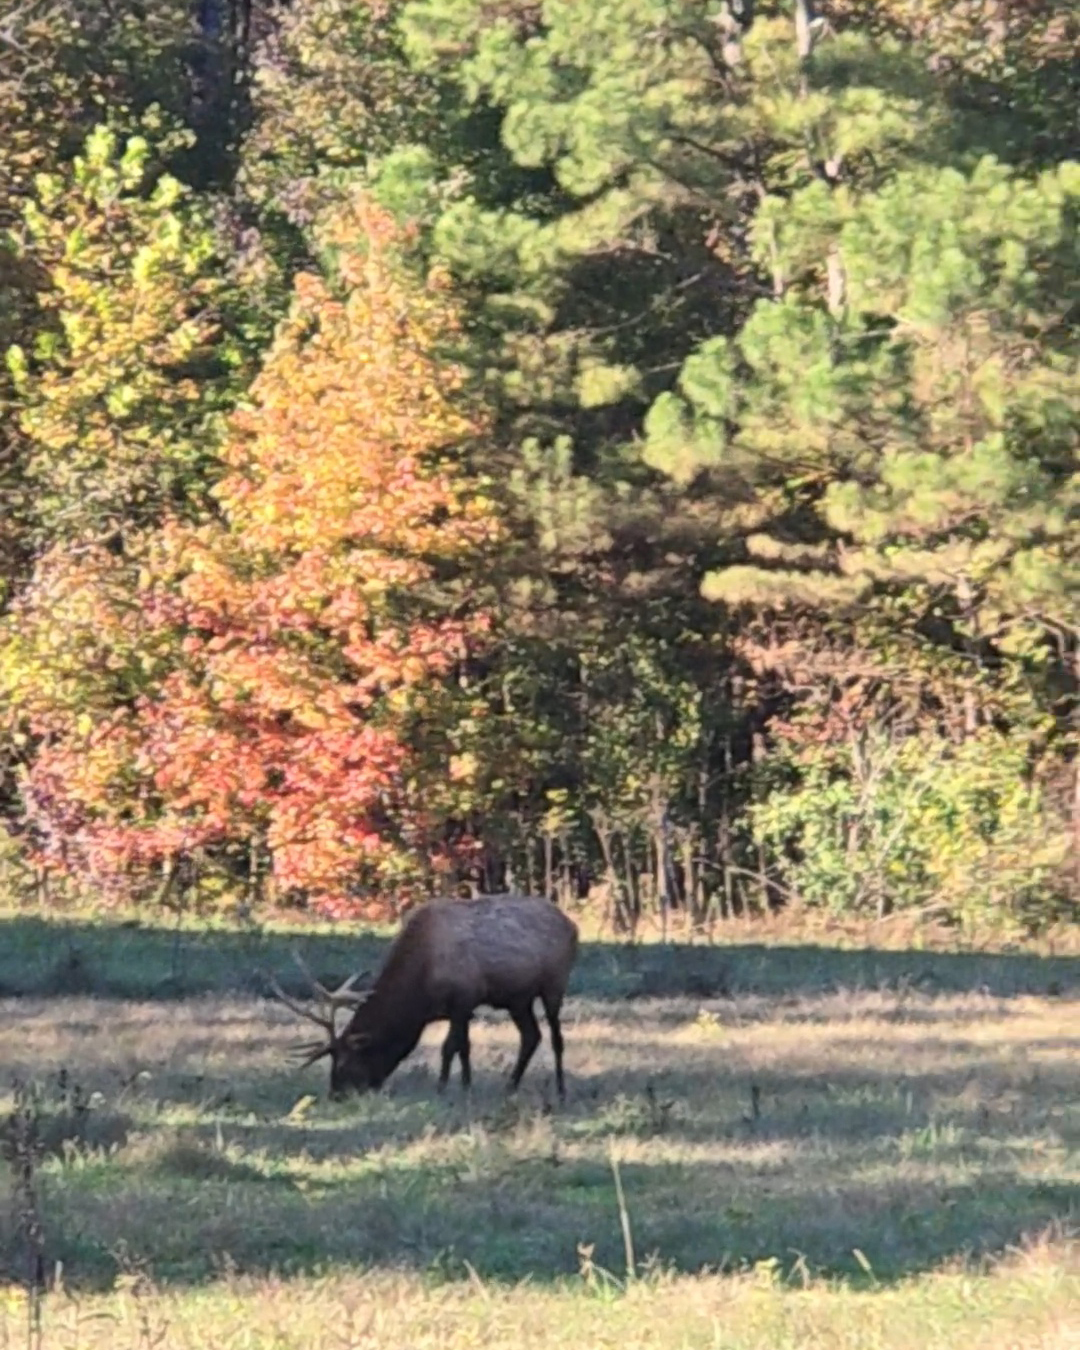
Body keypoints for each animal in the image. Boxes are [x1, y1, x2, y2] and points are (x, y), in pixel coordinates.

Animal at [267, 894, 579, 1100]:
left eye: (345, 1062)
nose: (335, 1095)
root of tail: (572, 925)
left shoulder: (464, 997)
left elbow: (450, 1047)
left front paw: (443, 1088)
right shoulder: (462, 1006)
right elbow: (464, 1047)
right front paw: (465, 1086)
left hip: (555, 983)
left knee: (556, 1037)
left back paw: (561, 1089)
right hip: (518, 998)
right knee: (531, 1036)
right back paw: (511, 1086)